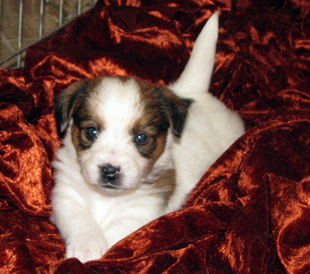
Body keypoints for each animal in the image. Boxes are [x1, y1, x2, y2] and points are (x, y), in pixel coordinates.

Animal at [50, 11, 245, 262]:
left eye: (142, 138)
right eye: (91, 132)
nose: (110, 171)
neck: (107, 197)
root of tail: (193, 92)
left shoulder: (141, 212)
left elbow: (116, 236)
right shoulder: (66, 195)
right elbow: (79, 218)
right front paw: (87, 246)